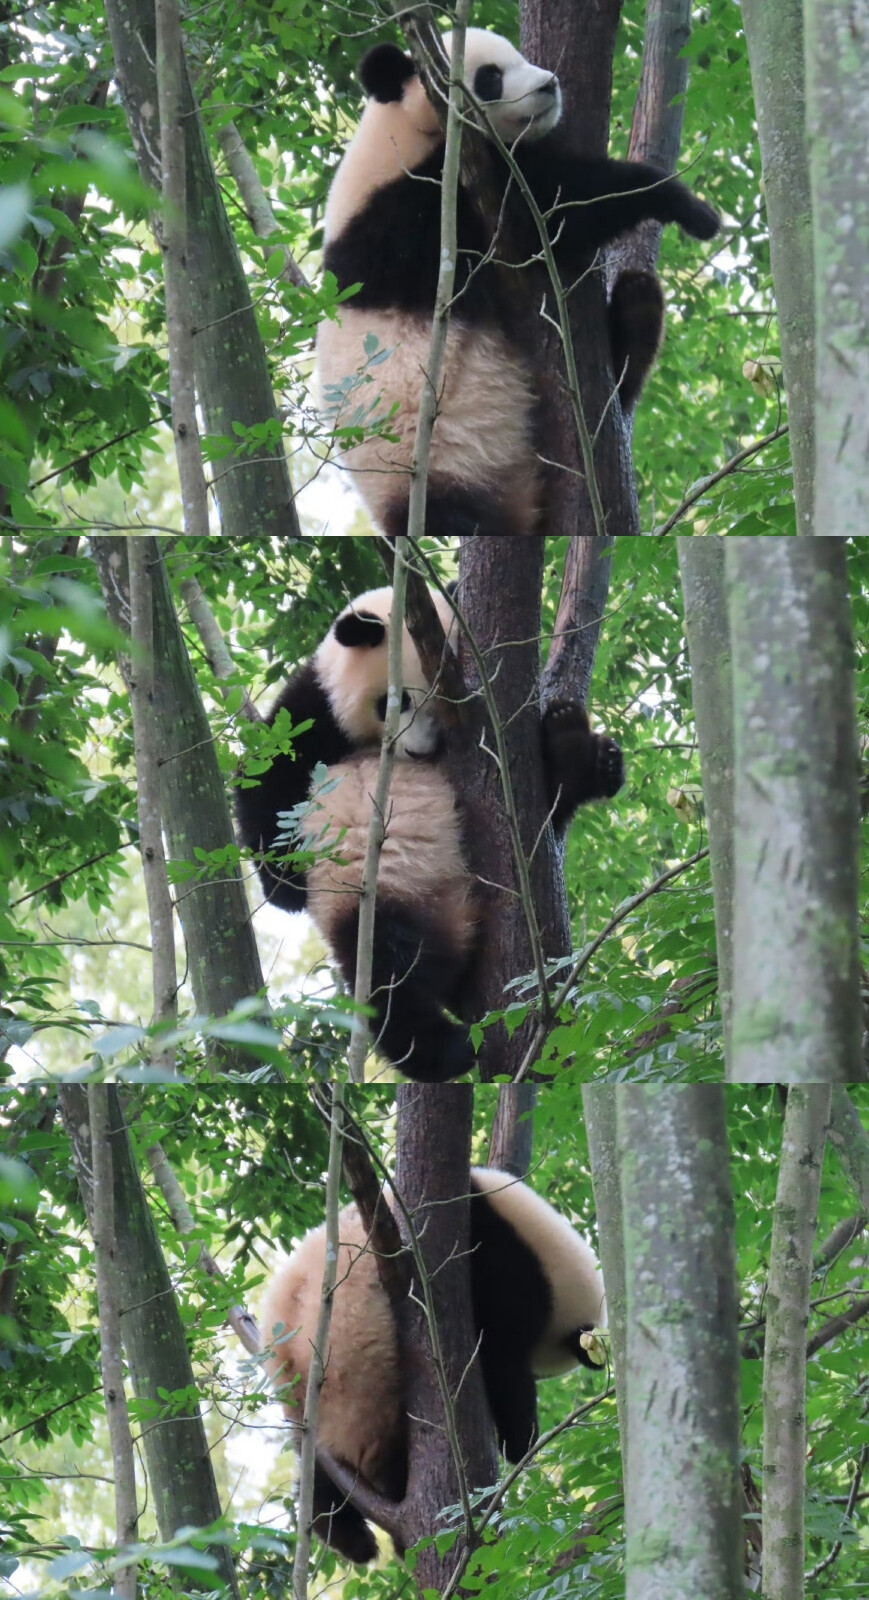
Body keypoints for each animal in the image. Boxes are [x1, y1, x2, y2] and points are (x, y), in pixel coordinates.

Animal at [235, 582, 620, 1081]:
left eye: (444, 700)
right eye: (394, 702)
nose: (419, 753)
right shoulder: (311, 712)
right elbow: (267, 776)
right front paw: (284, 888)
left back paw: (580, 748)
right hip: (365, 900)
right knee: (386, 982)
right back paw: (445, 1050)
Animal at [262, 1171, 608, 1555]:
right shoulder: (504, 1267)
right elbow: (501, 1360)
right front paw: (521, 1442)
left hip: (306, 1401)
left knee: (314, 1463)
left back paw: (341, 1529)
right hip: (362, 1368)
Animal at [318, 26, 720, 544]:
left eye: (519, 56)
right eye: (490, 77)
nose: (549, 84)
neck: (401, 135)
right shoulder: (418, 210)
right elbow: (549, 214)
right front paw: (684, 203)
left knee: (637, 308)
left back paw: (636, 311)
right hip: (429, 470)